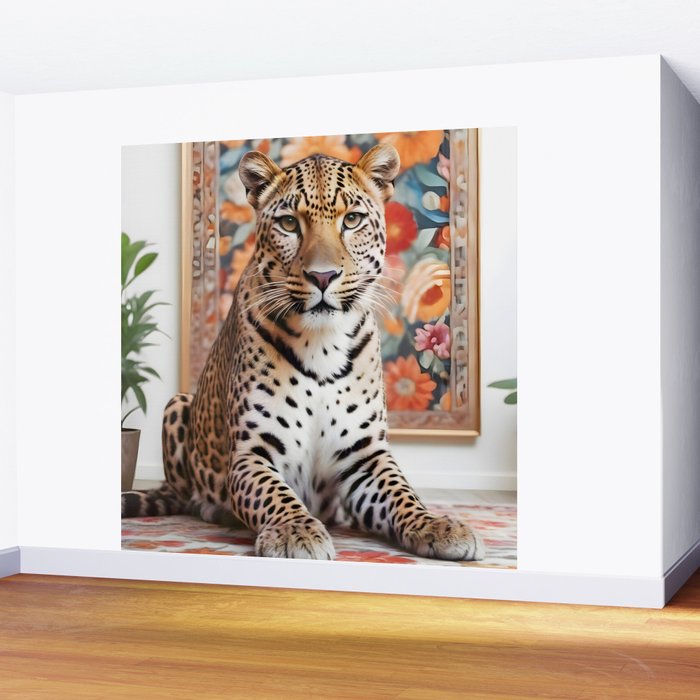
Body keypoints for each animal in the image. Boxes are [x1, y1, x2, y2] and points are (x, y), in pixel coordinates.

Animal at [122, 143, 484, 562]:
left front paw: (435, 524)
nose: (322, 276)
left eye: (352, 220)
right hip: (177, 404)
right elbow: (274, 494)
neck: (322, 342)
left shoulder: (365, 455)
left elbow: (402, 493)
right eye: (289, 224)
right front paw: (295, 531)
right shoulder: (252, 452)